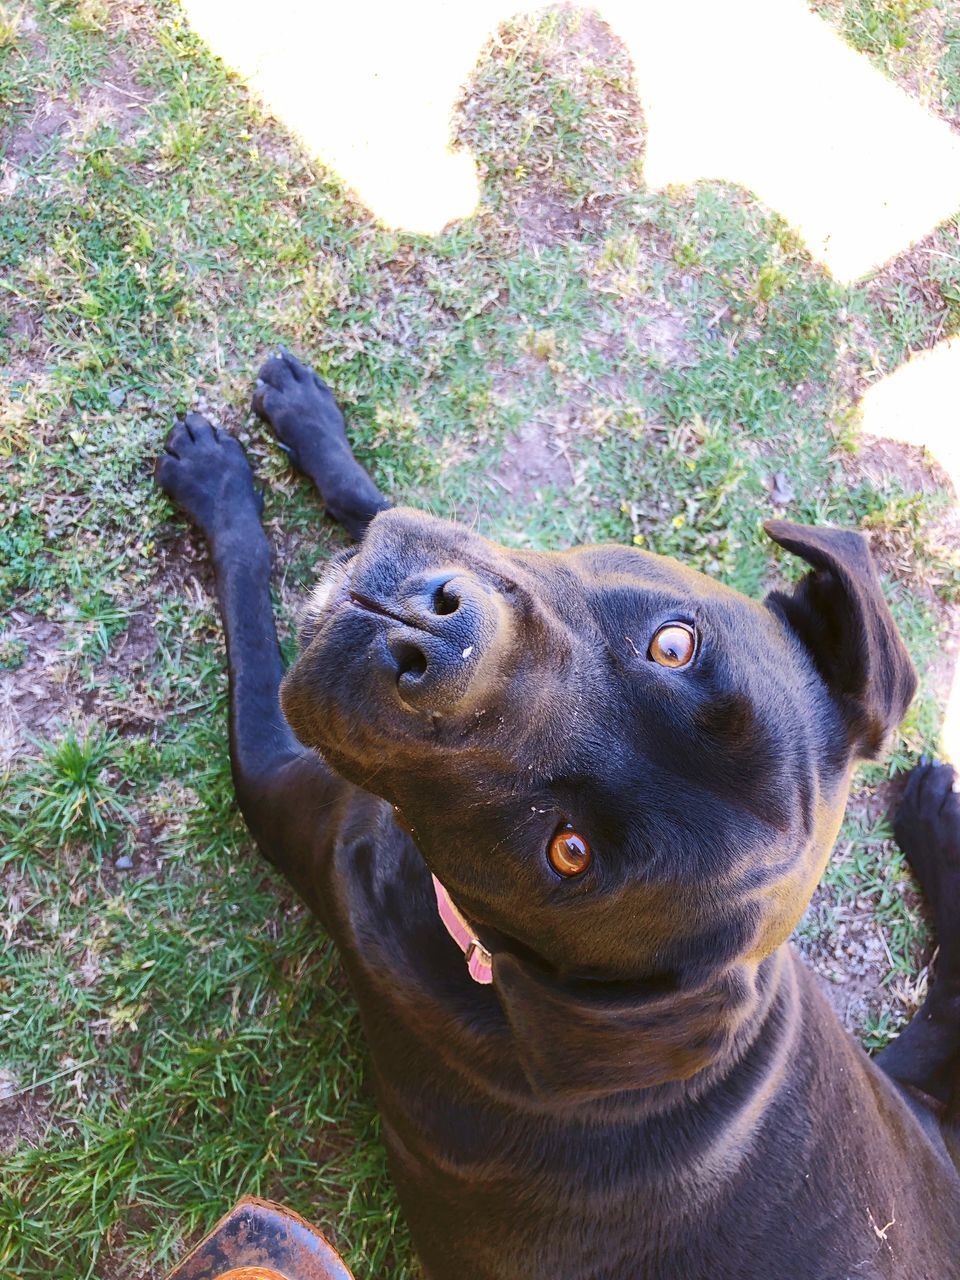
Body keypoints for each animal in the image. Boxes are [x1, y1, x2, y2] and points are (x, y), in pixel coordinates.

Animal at [160, 353, 960, 1280]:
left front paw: (215, 485)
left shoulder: (281, 784)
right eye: (674, 644)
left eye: (568, 852)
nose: (435, 641)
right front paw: (309, 422)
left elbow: (251, 608)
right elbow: (388, 501)